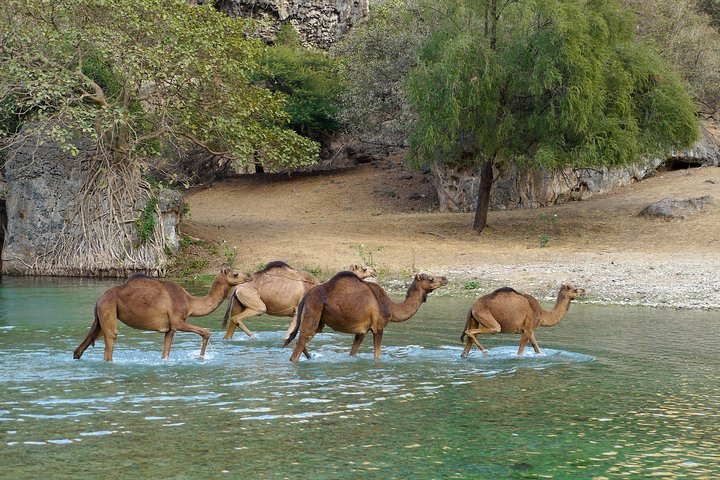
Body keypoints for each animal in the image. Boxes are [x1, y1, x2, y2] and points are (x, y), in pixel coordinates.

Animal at [73, 268, 250, 361]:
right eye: (235, 274)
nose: (248, 276)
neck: (190, 302)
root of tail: (99, 300)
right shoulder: (178, 321)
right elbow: (206, 332)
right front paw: (200, 357)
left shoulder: (170, 328)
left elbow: (165, 353)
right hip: (108, 309)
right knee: (111, 339)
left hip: (101, 317)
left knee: (86, 342)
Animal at [221, 262, 376, 340]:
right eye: (364, 268)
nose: (375, 271)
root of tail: (237, 288)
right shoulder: (299, 311)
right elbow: (287, 335)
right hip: (253, 300)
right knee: (243, 316)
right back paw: (254, 337)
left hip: (238, 302)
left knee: (231, 326)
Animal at [285, 271, 448, 362]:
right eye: (430, 279)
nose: (445, 279)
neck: (392, 307)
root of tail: (305, 297)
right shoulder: (378, 327)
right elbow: (377, 355)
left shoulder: (361, 331)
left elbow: (352, 353)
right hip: (314, 309)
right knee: (299, 345)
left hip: (319, 320)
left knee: (301, 340)